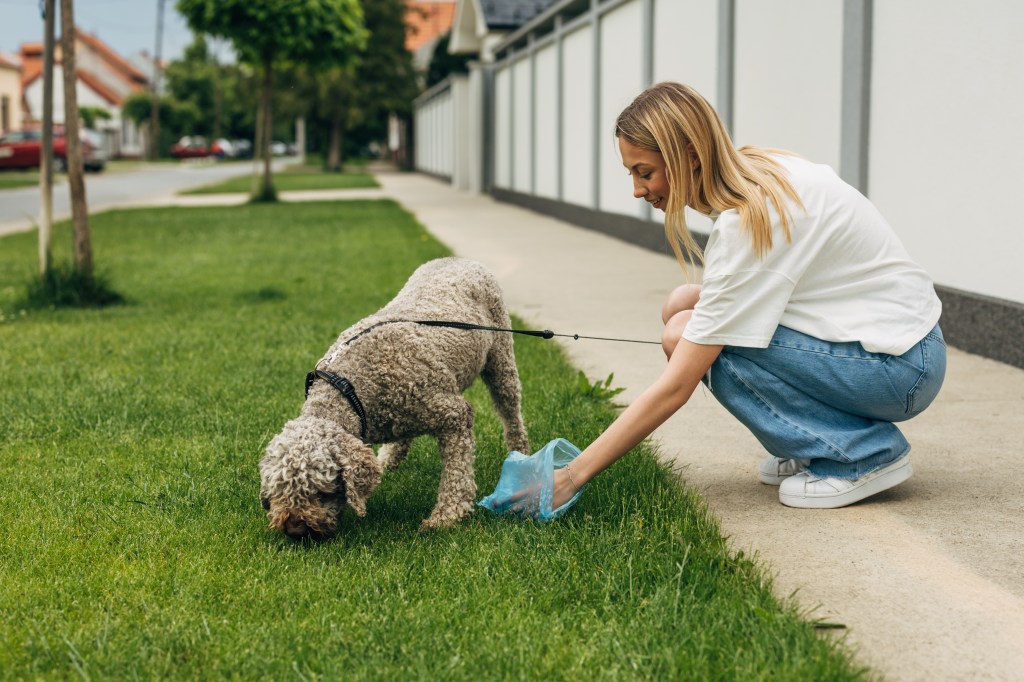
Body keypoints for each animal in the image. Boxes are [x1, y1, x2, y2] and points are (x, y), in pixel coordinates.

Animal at [256, 256, 532, 536]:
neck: (352, 388)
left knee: (511, 412)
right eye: (277, 493)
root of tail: (457, 258)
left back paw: (520, 455)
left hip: (501, 360)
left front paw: (447, 515)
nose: (295, 530)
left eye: (322, 492)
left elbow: (457, 475)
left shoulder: (454, 415)